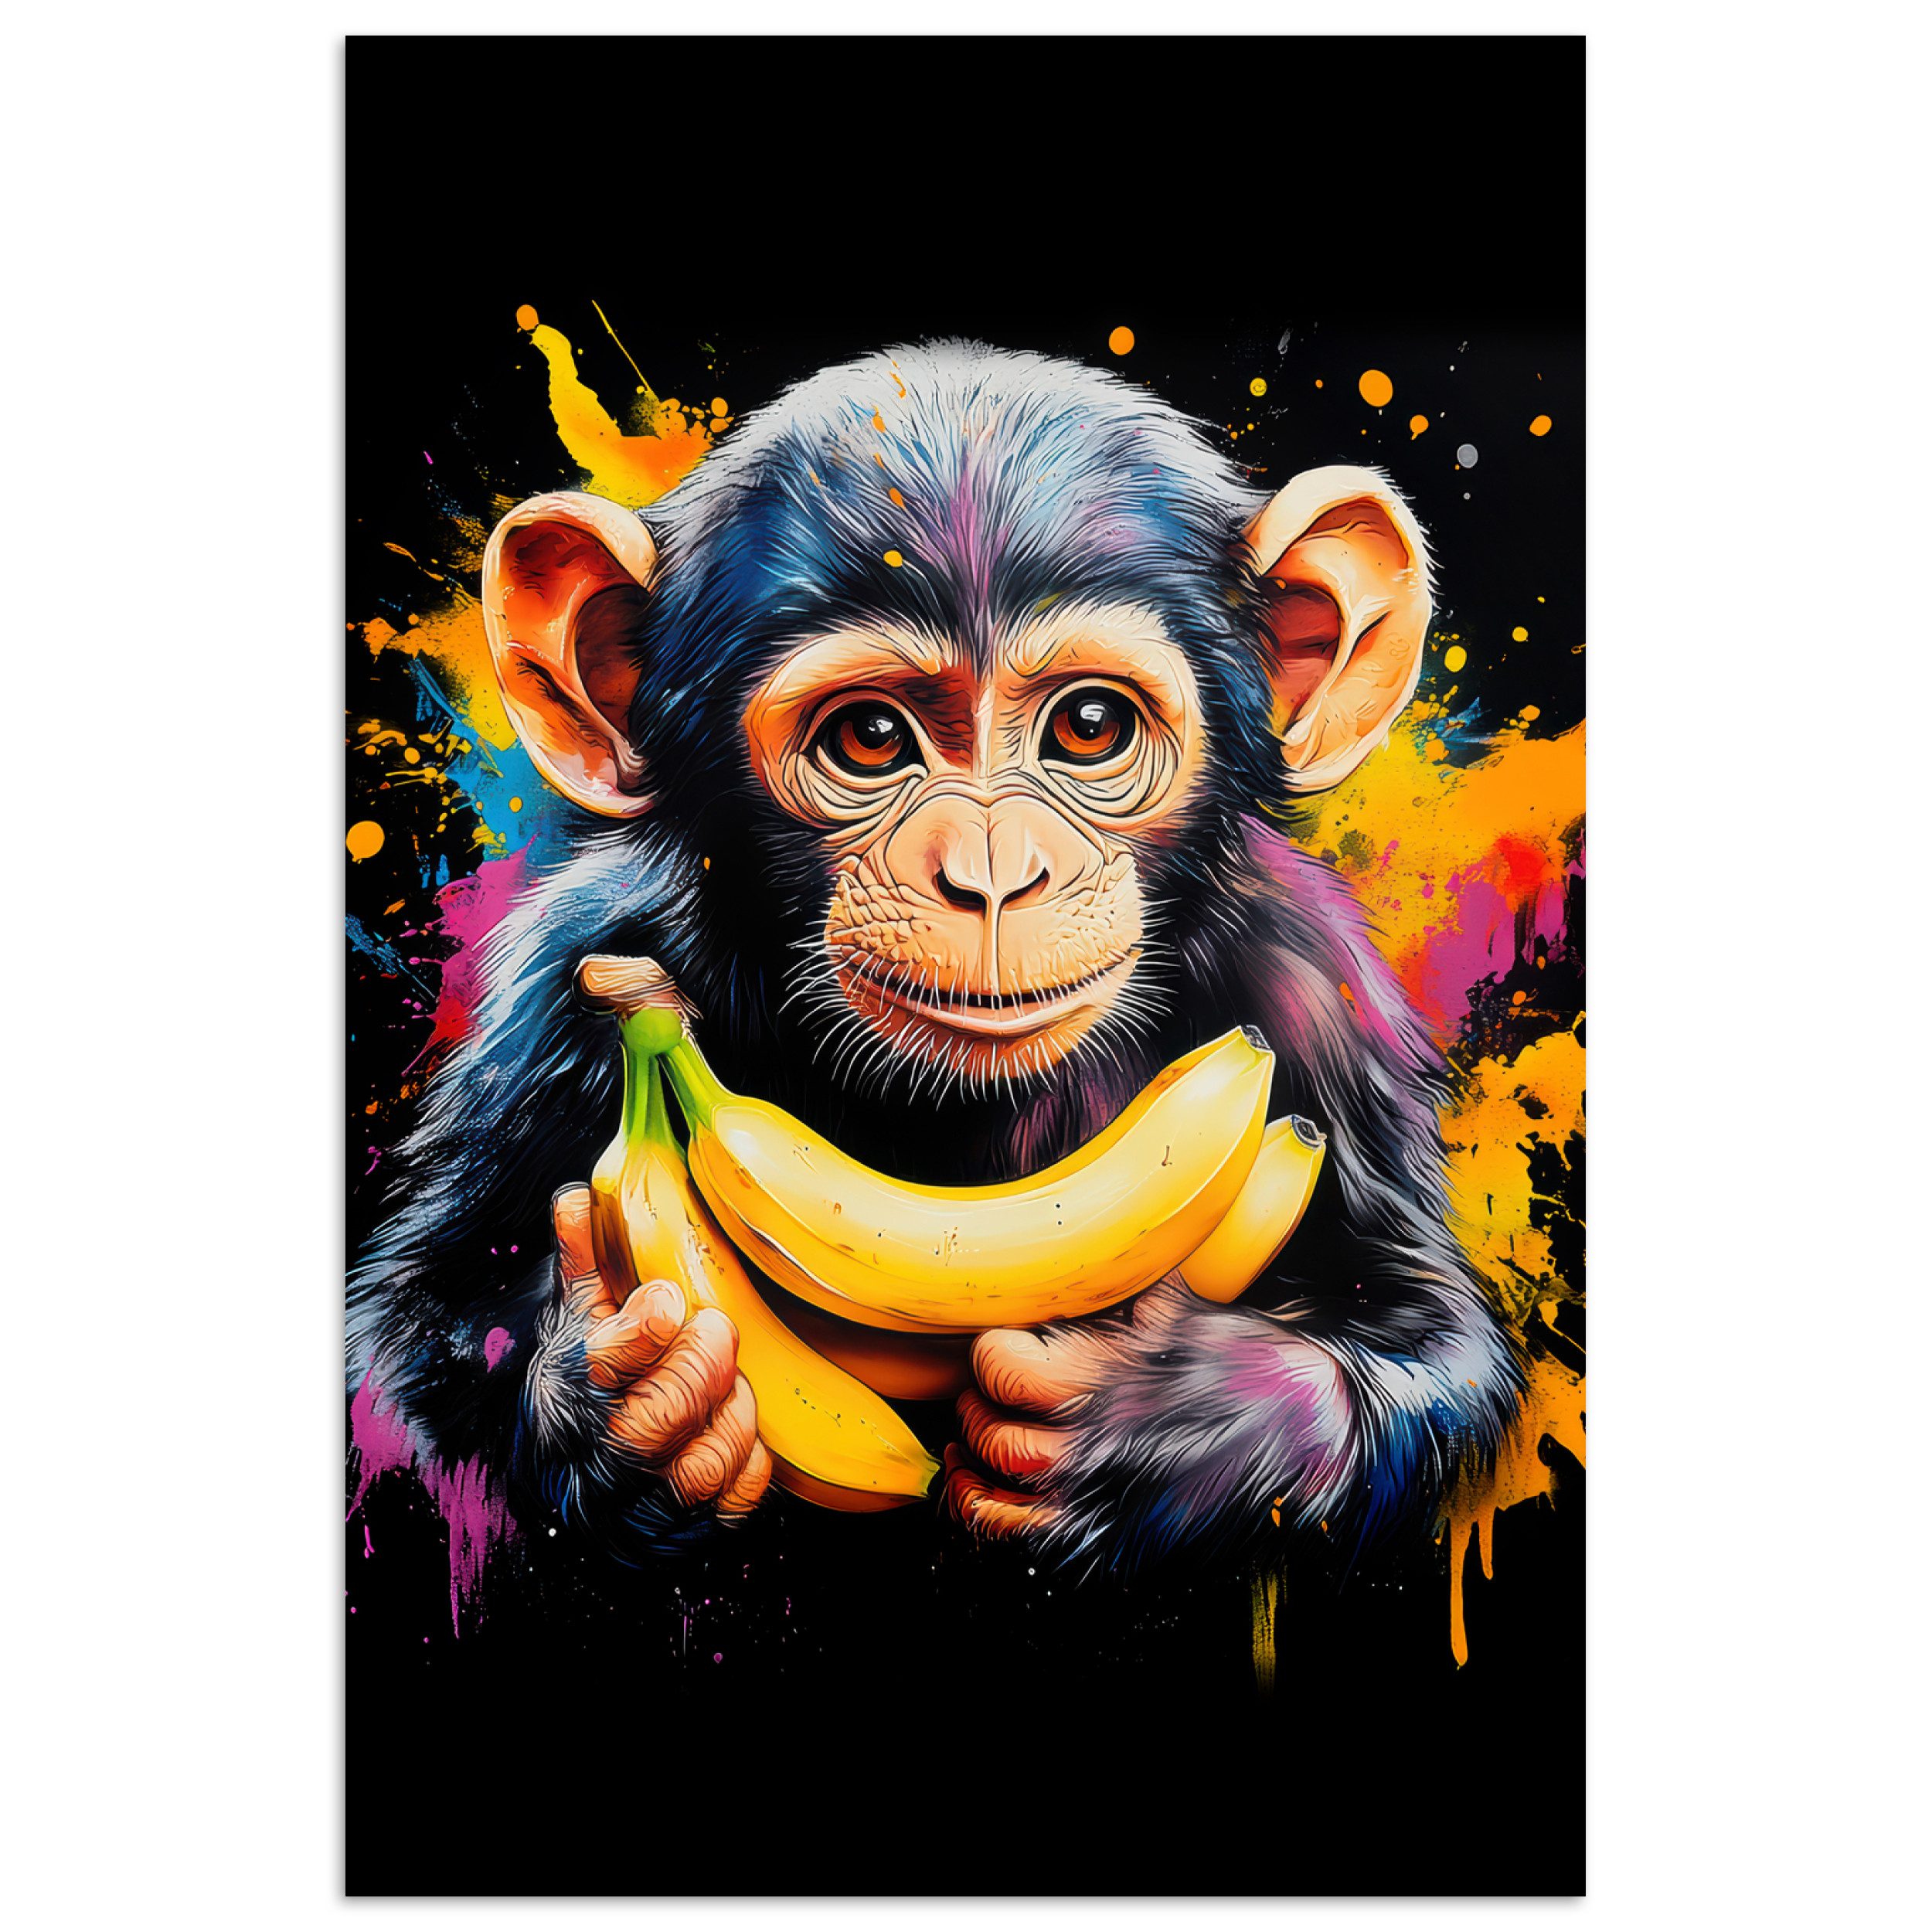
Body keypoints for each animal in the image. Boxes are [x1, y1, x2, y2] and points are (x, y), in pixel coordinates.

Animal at [346, 340, 1524, 1578]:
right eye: (870, 739)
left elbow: (1432, 1336)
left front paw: (1158, 1419)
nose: (993, 874)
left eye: (1091, 727)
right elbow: (418, 1343)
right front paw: (630, 1406)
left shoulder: (1315, 992)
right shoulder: (563, 980)